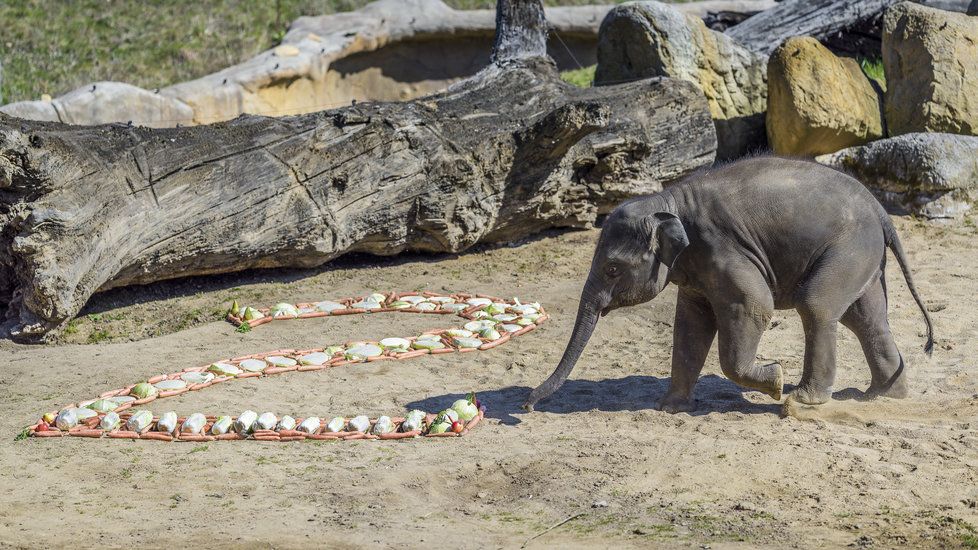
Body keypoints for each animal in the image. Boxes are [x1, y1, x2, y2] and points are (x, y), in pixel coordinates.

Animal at [524, 156, 936, 414]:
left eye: (611, 269)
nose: (527, 402)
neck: (668, 201)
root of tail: (881, 210)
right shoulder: (695, 269)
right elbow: (690, 323)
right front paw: (668, 408)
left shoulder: (722, 249)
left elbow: (754, 306)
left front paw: (776, 380)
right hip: (863, 256)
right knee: (866, 318)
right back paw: (883, 395)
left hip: (849, 247)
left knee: (817, 306)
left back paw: (801, 401)